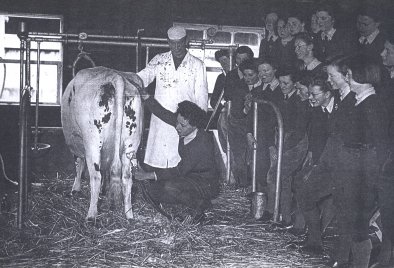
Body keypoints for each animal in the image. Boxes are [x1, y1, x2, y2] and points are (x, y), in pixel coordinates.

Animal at [60, 66, 143, 222]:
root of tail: (116, 77)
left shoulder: (77, 144)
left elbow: (79, 165)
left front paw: (75, 188)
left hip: (92, 141)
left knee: (95, 176)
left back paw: (91, 215)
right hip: (131, 145)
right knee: (127, 179)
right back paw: (129, 215)